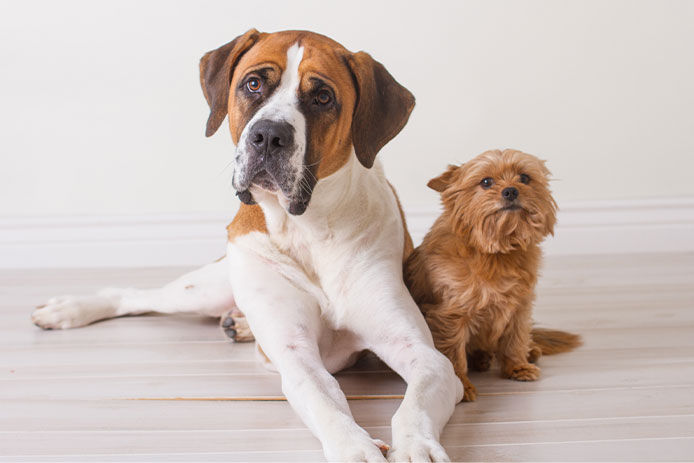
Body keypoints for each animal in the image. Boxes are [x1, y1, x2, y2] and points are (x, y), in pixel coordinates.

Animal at [29, 30, 464, 462]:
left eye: (322, 97)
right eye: (253, 84)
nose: (269, 134)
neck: (307, 229)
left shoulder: (424, 356)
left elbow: (415, 402)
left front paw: (417, 446)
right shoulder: (297, 356)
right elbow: (324, 400)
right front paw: (355, 450)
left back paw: (236, 324)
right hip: (205, 288)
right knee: (136, 295)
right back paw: (69, 309)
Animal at [408, 150, 580, 402]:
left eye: (524, 178)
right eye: (486, 182)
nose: (511, 191)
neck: (497, 251)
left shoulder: (520, 307)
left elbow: (514, 341)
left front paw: (517, 366)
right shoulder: (450, 317)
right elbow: (453, 353)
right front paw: (461, 386)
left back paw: (529, 351)